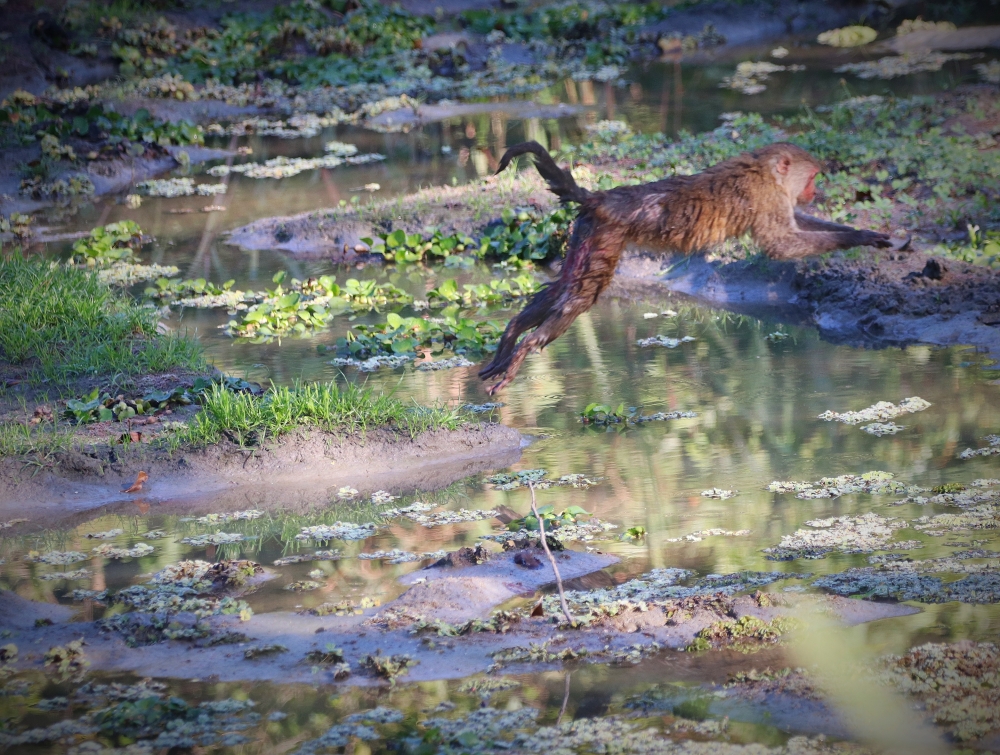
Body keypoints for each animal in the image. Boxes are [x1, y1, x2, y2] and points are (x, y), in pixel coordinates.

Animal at [478, 141, 892, 394]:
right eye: (813, 178)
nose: (813, 191)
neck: (763, 170)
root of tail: (605, 197)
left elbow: (801, 224)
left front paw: (867, 234)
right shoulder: (766, 198)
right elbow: (782, 245)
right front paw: (856, 238)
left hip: (587, 230)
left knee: (565, 285)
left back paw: (510, 336)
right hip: (607, 233)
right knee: (581, 294)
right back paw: (524, 347)